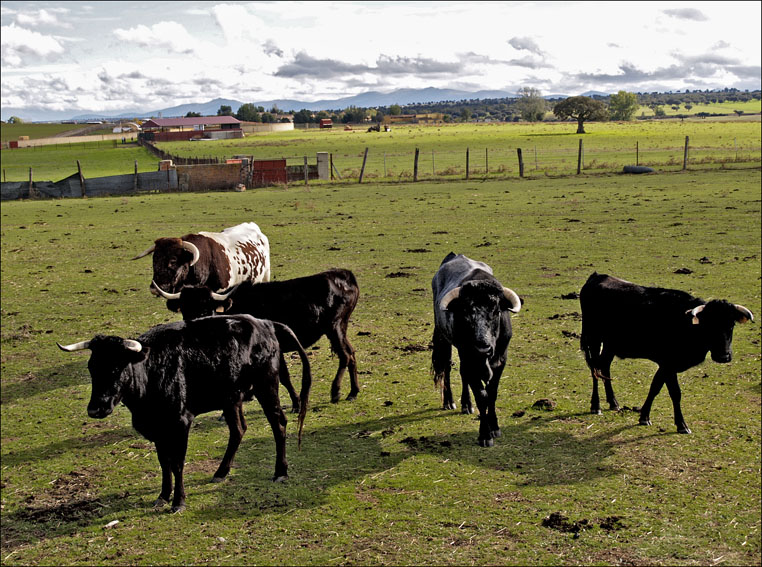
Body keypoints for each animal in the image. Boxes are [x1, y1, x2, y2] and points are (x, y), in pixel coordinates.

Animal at [55, 316, 312, 516]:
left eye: (117, 367)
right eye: (91, 367)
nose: (96, 409)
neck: (151, 372)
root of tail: (265, 323)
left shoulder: (180, 423)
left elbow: (177, 463)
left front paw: (178, 501)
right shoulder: (158, 428)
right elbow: (164, 462)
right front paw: (163, 495)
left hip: (265, 385)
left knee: (278, 423)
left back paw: (280, 472)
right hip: (231, 398)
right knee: (238, 430)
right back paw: (221, 472)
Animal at [155, 270, 362, 404]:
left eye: (207, 307)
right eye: (185, 309)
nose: (195, 325)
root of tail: (344, 275)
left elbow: (284, 376)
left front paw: (296, 403)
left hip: (334, 327)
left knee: (345, 356)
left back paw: (336, 392)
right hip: (340, 328)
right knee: (352, 353)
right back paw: (353, 392)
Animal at [430, 254, 520, 448]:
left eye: (496, 311)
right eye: (466, 311)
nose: (483, 347)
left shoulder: (501, 360)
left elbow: (491, 393)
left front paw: (495, 427)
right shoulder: (470, 357)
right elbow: (481, 395)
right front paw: (485, 434)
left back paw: (466, 405)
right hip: (445, 340)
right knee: (448, 367)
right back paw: (450, 402)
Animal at [580, 272, 752, 432]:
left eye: (731, 325)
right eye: (709, 325)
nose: (723, 356)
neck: (685, 324)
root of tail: (597, 277)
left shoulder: (666, 365)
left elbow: (655, 387)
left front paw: (644, 416)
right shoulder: (668, 364)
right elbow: (675, 393)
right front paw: (681, 424)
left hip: (610, 344)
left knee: (604, 366)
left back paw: (613, 402)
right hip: (593, 337)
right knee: (595, 369)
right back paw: (596, 406)